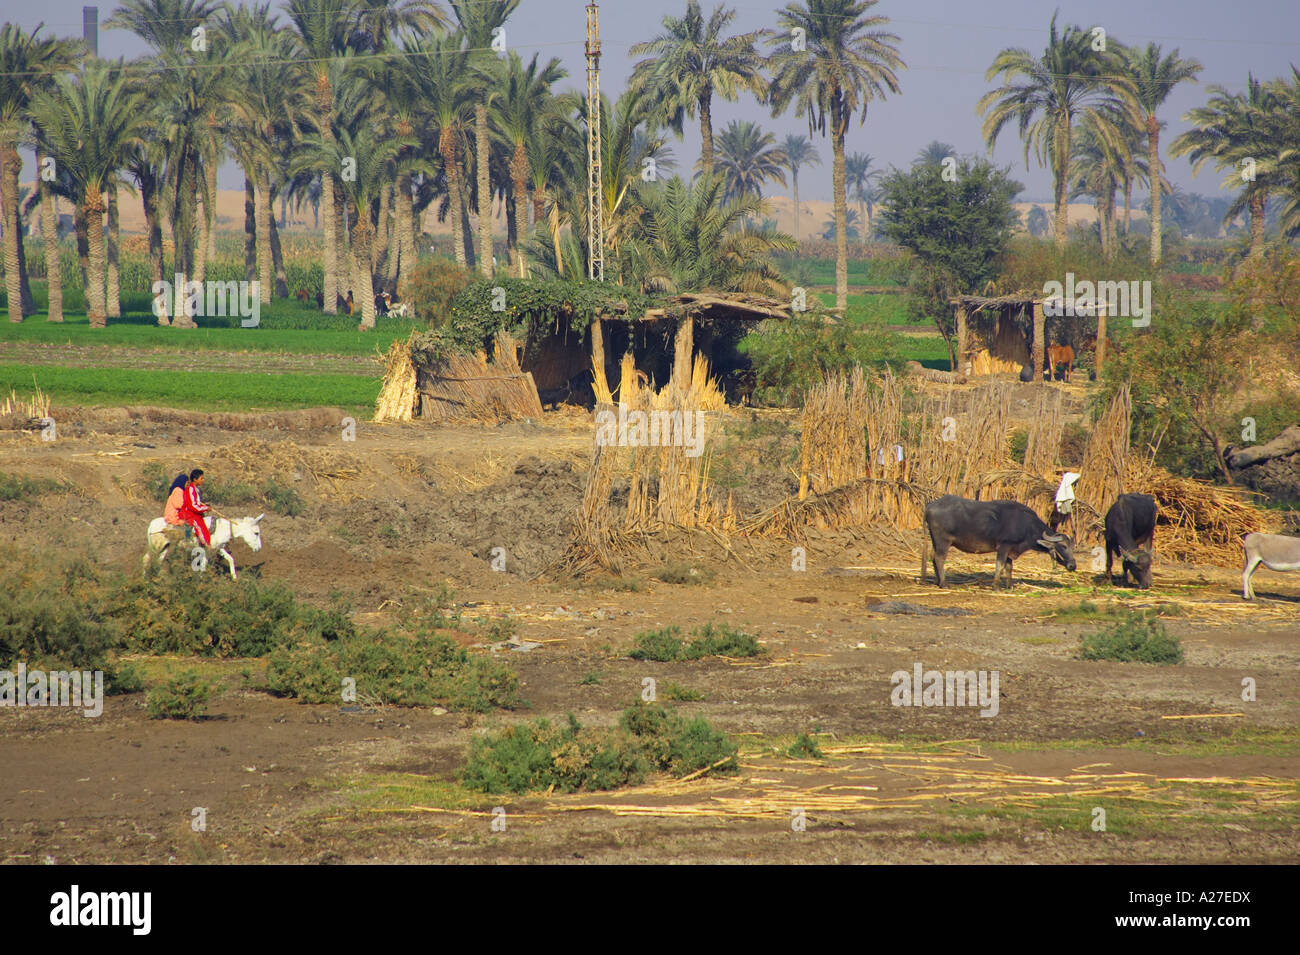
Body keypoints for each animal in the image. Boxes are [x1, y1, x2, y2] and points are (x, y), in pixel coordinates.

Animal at [925, 496, 1076, 587]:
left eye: (1072, 547)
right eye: (1063, 546)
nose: (1073, 566)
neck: (1027, 525)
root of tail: (930, 505)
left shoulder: (1011, 549)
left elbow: (1009, 567)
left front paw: (1009, 585)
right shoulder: (1004, 545)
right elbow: (1000, 564)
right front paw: (996, 585)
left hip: (934, 540)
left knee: (932, 557)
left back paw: (937, 581)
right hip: (943, 541)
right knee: (939, 558)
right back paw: (944, 583)